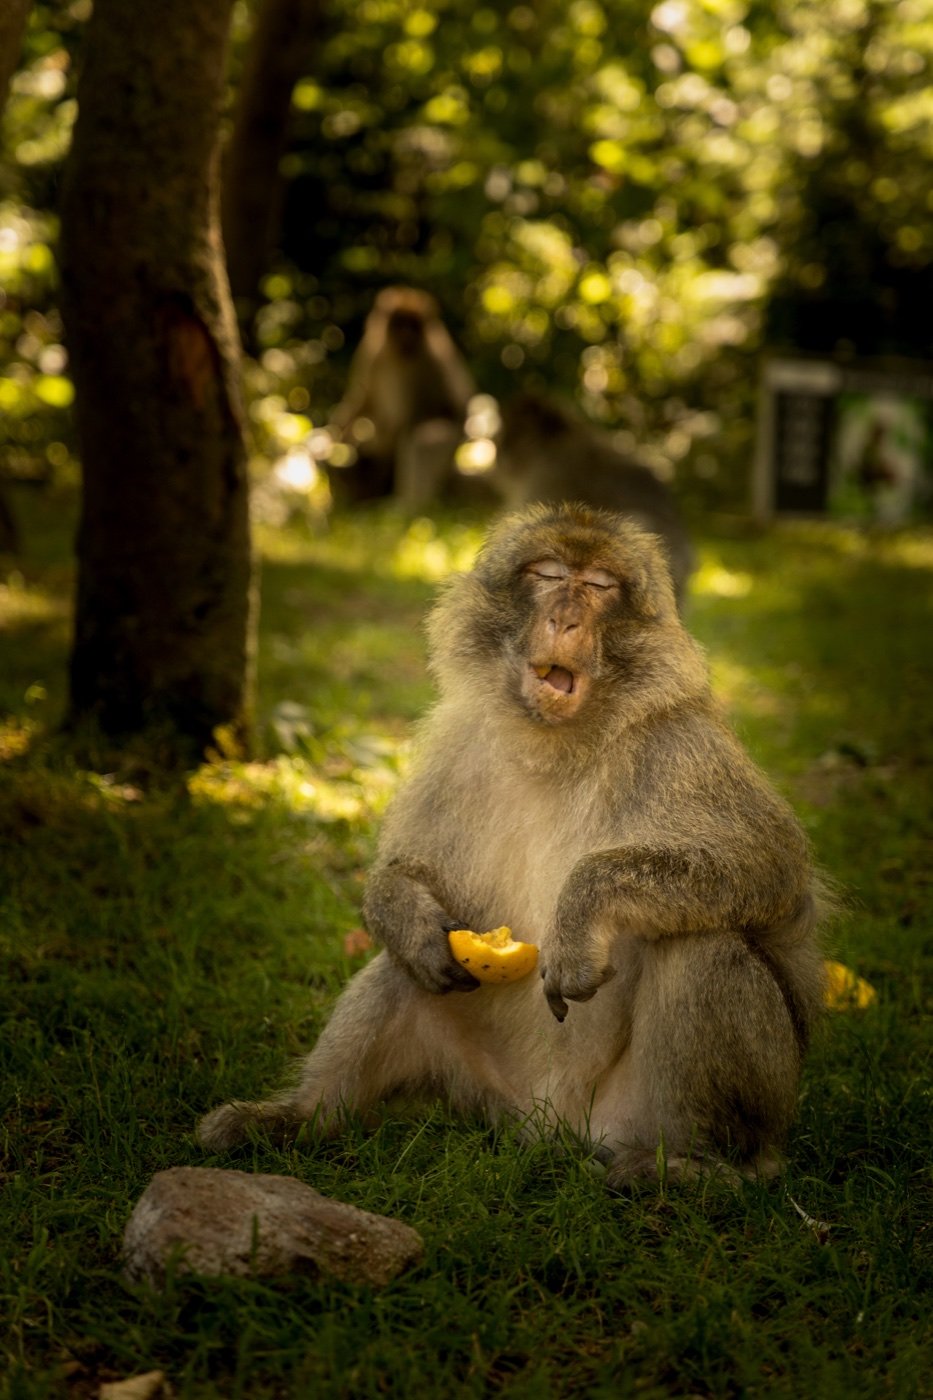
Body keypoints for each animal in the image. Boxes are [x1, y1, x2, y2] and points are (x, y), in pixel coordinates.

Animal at [198, 503, 826, 1185]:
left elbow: (768, 868)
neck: (555, 745)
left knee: (704, 949)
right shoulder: (457, 742)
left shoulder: (681, 746)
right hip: (482, 1085)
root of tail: (550, 1126)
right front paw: (407, 912)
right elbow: (408, 870)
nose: (565, 617)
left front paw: (579, 913)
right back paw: (301, 1118)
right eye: (548, 573)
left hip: (645, 1115)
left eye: (599, 585)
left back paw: (700, 1166)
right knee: (401, 967)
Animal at [329, 287, 475, 507]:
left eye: (413, 325)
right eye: (399, 323)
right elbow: (364, 398)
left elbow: (407, 419)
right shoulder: (372, 351)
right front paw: (339, 433)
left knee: (424, 436)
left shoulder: (423, 363)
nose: (407, 334)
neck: (397, 354)